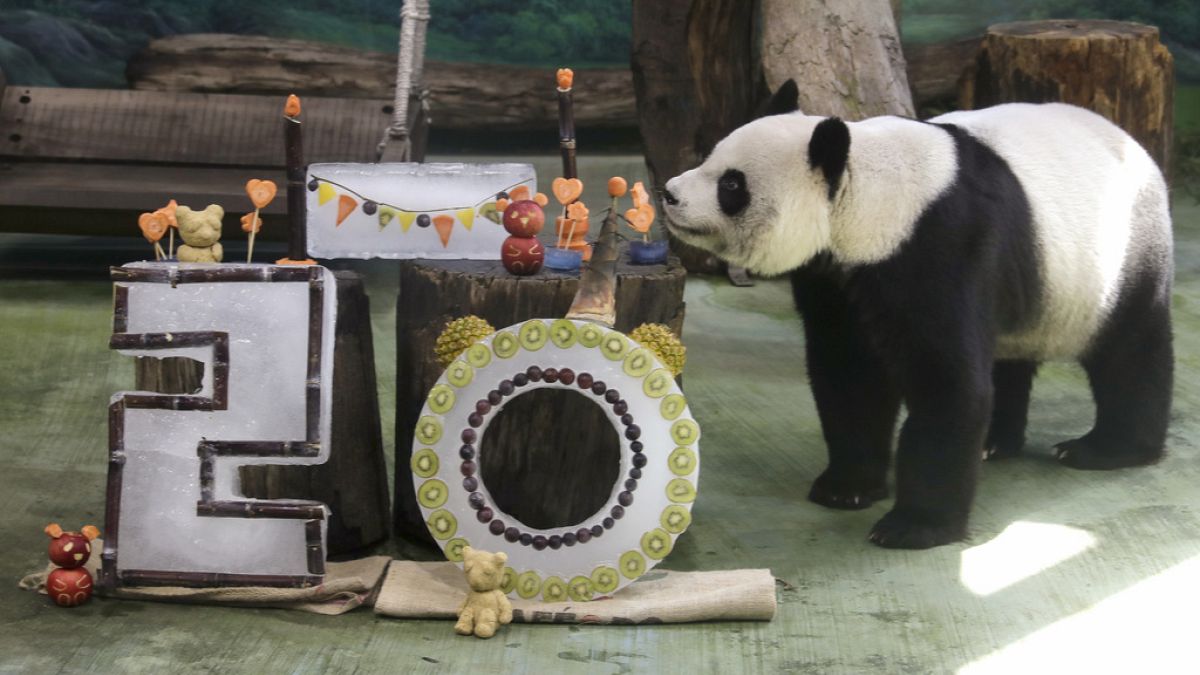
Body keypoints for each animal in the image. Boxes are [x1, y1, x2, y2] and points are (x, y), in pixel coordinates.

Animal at [657, 84, 1171, 547]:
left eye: (732, 184)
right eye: (709, 157)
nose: (669, 193)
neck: (866, 195)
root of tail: (1132, 142)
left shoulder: (939, 245)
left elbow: (945, 380)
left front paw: (914, 526)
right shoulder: (837, 276)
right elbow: (850, 372)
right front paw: (847, 488)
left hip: (1117, 258)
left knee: (1129, 349)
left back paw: (1107, 448)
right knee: (1007, 356)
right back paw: (995, 442)